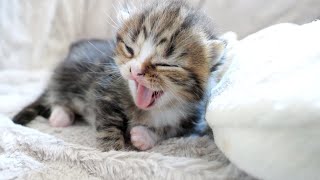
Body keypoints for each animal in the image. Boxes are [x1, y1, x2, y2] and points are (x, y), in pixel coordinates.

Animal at [12, 0, 225, 151]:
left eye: (166, 64)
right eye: (130, 49)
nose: (135, 70)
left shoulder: (192, 122)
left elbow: (169, 130)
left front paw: (145, 136)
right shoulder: (104, 91)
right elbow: (109, 123)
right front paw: (112, 150)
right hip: (65, 74)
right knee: (57, 94)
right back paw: (60, 115)